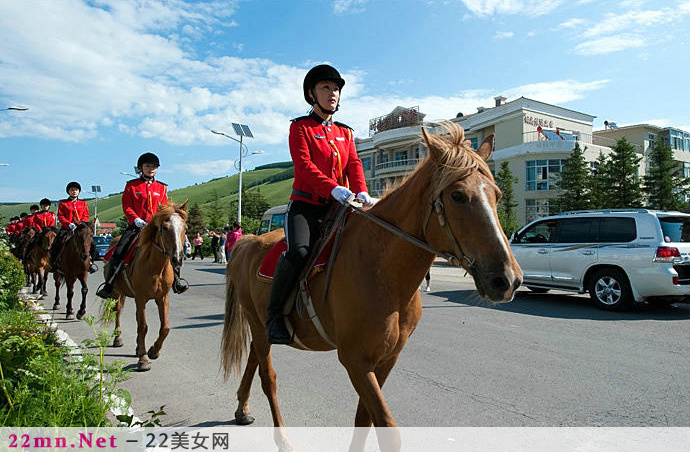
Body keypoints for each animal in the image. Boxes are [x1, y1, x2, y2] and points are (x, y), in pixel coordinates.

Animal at [106, 201, 185, 370]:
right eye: (165, 228)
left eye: (185, 228)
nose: (177, 258)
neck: (155, 266)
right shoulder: (141, 298)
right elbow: (143, 326)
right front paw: (143, 359)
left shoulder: (162, 297)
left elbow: (165, 327)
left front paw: (153, 351)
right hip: (116, 292)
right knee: (117, 312)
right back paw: (118, 339)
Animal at [220, 123, 520, 452]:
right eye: (458, 196)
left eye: (497, 194)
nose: (507, 280)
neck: (384, 273)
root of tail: (248, 241)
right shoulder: (355, 359)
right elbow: (387, 427)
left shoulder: (386, 359)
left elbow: (365, 418)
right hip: (259, 324)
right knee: (268, 376)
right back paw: (283, 438)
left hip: (260, 326)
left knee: (253, 359)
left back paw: (242, 408)